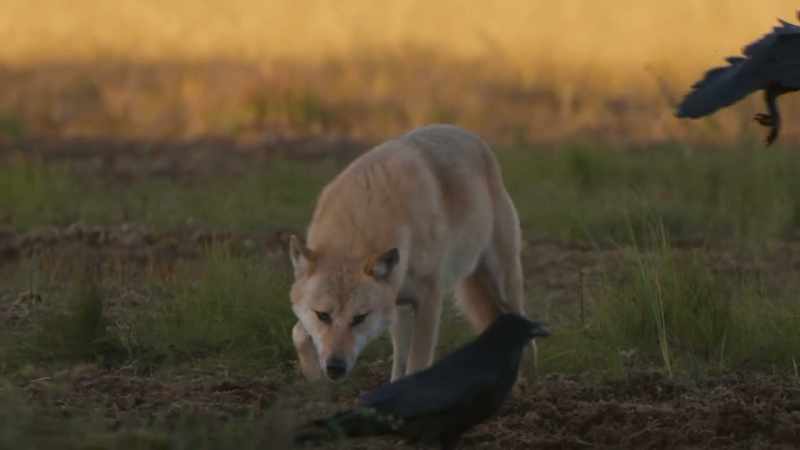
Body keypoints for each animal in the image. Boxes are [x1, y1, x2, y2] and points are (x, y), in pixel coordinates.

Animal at [288, 124, 532, 382]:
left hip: (503, 285)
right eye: (322, 315)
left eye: (359, 318)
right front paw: (313, 375)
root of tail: (472, 136)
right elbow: (298, 332)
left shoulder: (429, 302)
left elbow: (418, 364)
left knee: (524, 327)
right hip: (402, 313)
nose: (335, 367)